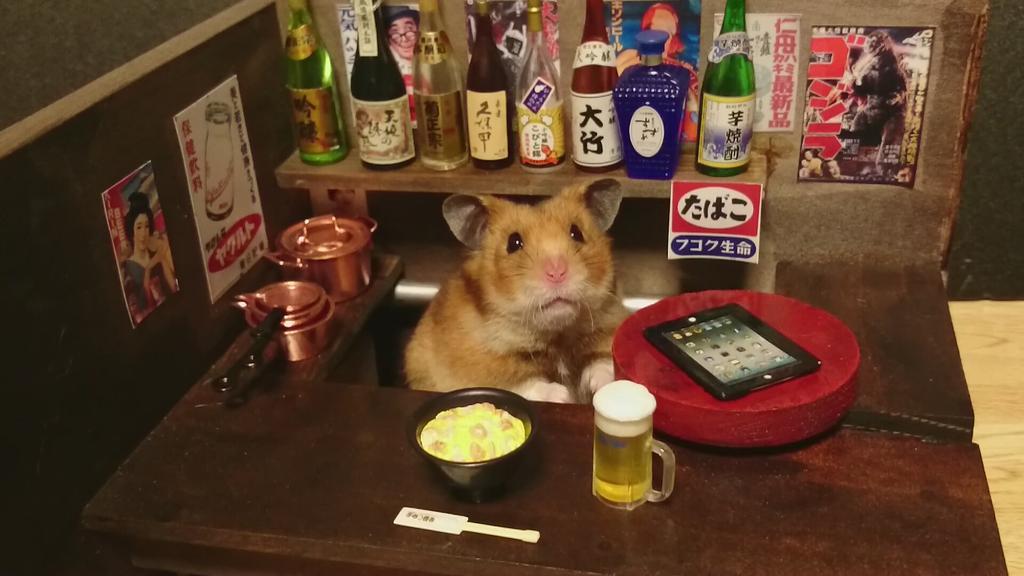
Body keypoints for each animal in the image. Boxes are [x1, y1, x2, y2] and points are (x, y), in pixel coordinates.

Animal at [405, 179, 628, 403]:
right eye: (513, 242)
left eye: (577, 233)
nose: (557, 273)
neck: (557, 339)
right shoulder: (480, 373)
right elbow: (525, 385)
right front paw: (562, 396)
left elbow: (602, 364)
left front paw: (597, 386)